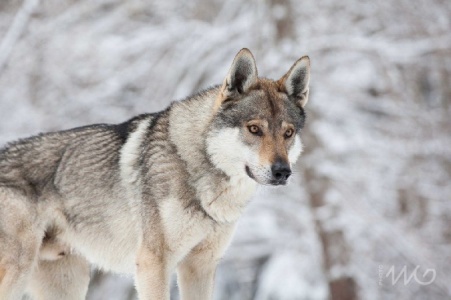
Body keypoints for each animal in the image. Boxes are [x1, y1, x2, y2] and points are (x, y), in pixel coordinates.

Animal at [0, 48, 310, 298]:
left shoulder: (201, 265)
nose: (282, 172)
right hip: (19, 270)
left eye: (288, 133)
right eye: (254, 129)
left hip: (67, 282)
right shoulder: (153, 263)